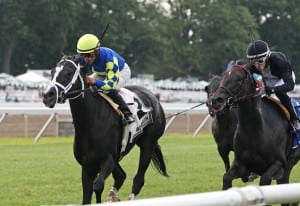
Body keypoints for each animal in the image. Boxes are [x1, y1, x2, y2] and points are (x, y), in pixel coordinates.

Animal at [42, 56, 169, 204]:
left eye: (69, 72)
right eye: (52, 72)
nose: (48, 95)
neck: (90, 123)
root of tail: (154, 98)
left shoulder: (108, 160)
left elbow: (98, 186)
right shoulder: (87, 165)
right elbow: (87, 195)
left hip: (148, 144)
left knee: (138, 179)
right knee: (121, 175)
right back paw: (112, 195)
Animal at [211, 64, 300, 204]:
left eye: (239, 79)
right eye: (223, 76)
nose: (216, 100)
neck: (254, 130)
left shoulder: (279, 164)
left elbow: (264, 181)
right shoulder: (241, 164)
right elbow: (226, 178)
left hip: (289, 163)